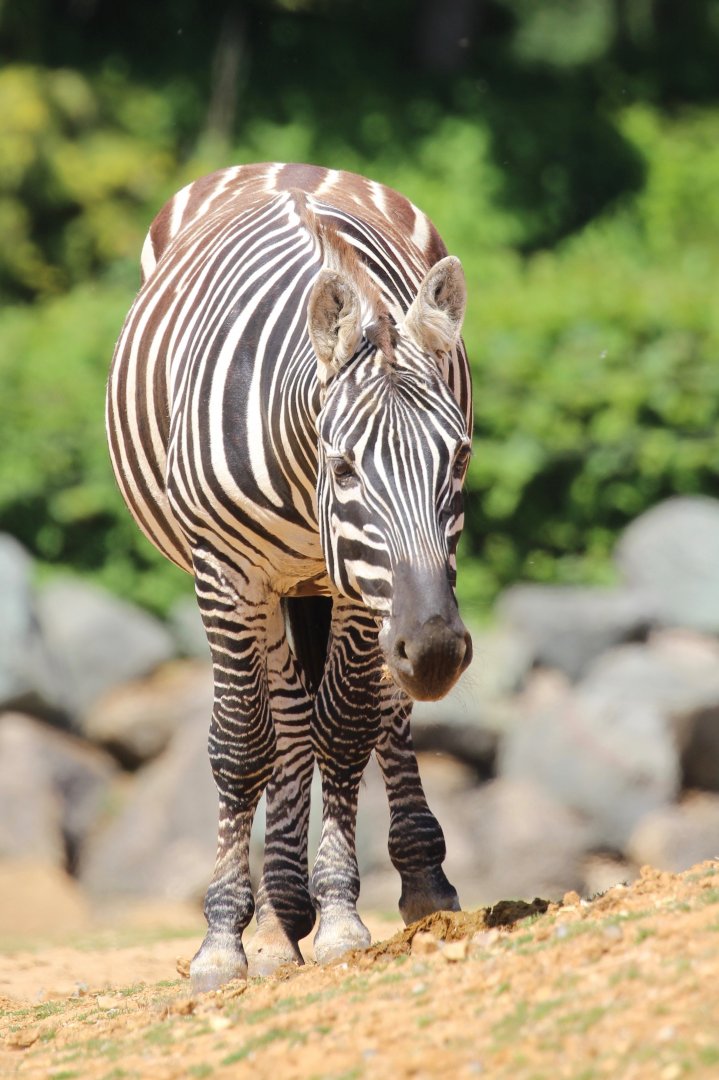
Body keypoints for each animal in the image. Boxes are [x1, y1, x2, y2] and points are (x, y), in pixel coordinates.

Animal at [107, 162, 473, 993]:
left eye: (460, 458)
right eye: (343, 466)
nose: (437, 651)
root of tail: (283, 167)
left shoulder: (362, 593)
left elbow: (347, 727)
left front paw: (337, 916)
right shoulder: (227, 574)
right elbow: (244, 743)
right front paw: (224, 940)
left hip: (348, 595)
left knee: (375, 715)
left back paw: (412, 880)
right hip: (274, 591)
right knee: (285, 721)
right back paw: (276, 920)